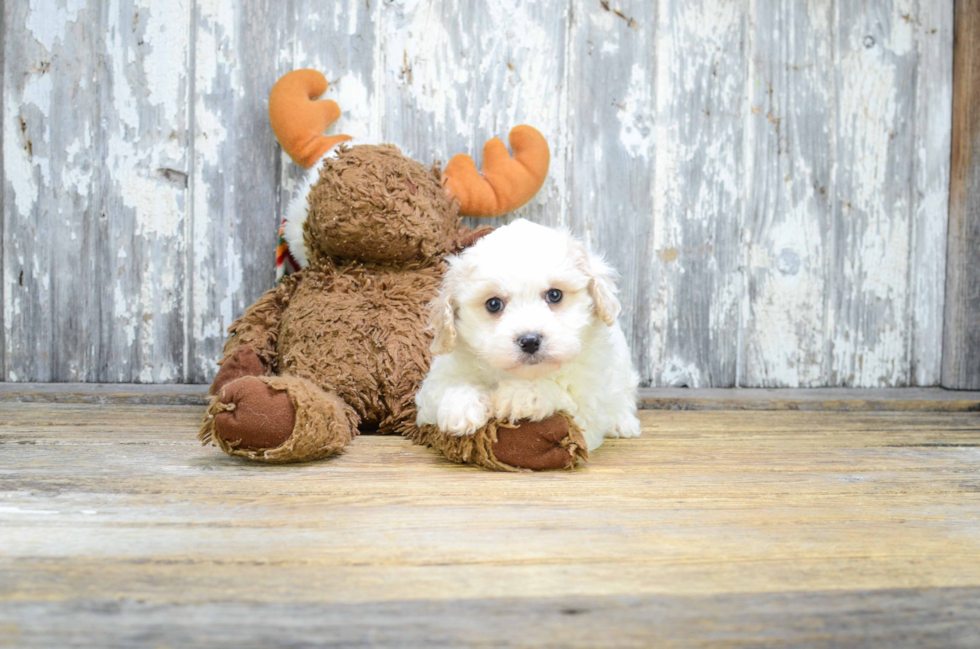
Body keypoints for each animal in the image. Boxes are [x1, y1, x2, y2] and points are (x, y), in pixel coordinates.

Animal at [414, 218, 644, 450]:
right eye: (494, 304)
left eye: (554, 295)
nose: (530, 341)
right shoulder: (432, 390)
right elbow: (448, 387)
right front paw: (461, 406)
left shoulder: (588, 403)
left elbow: (565, 393)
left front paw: (522, 393)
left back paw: (622, 422)